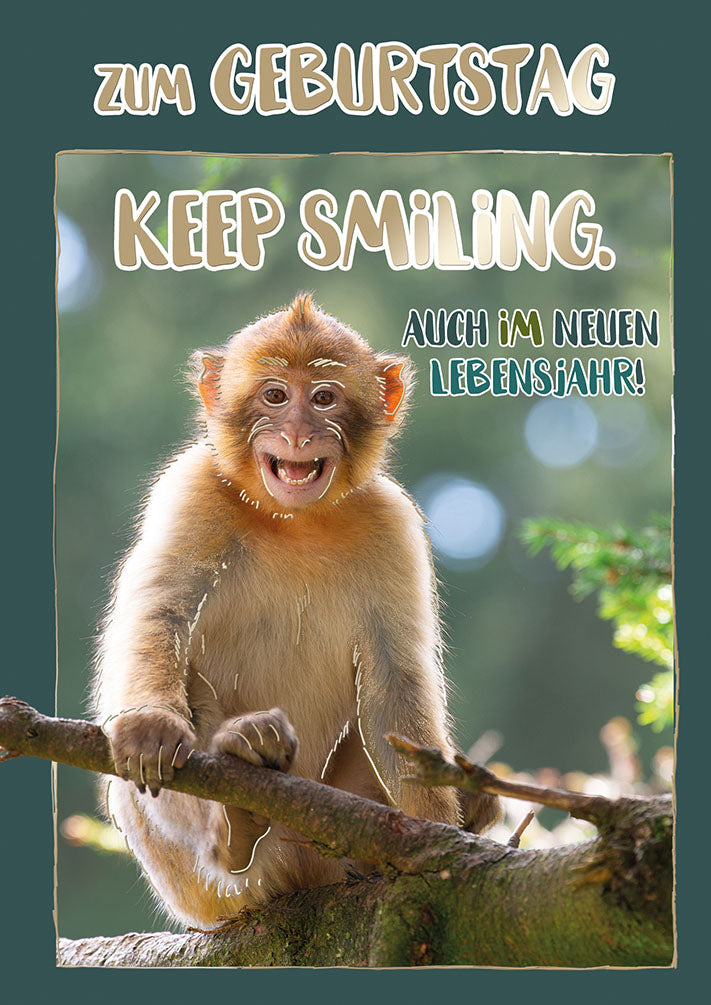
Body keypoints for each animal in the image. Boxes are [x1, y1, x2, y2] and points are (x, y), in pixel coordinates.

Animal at [92, 293, 500, 929]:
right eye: (276, 396)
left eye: (324, 398)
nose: (300, 436)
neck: (295, 520)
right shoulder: (190, 488)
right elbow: (160, 612)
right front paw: (152, 724)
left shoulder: (392, 523)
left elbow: (394, 682)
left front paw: (436, 833)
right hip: (205, 891)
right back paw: (233, 820)